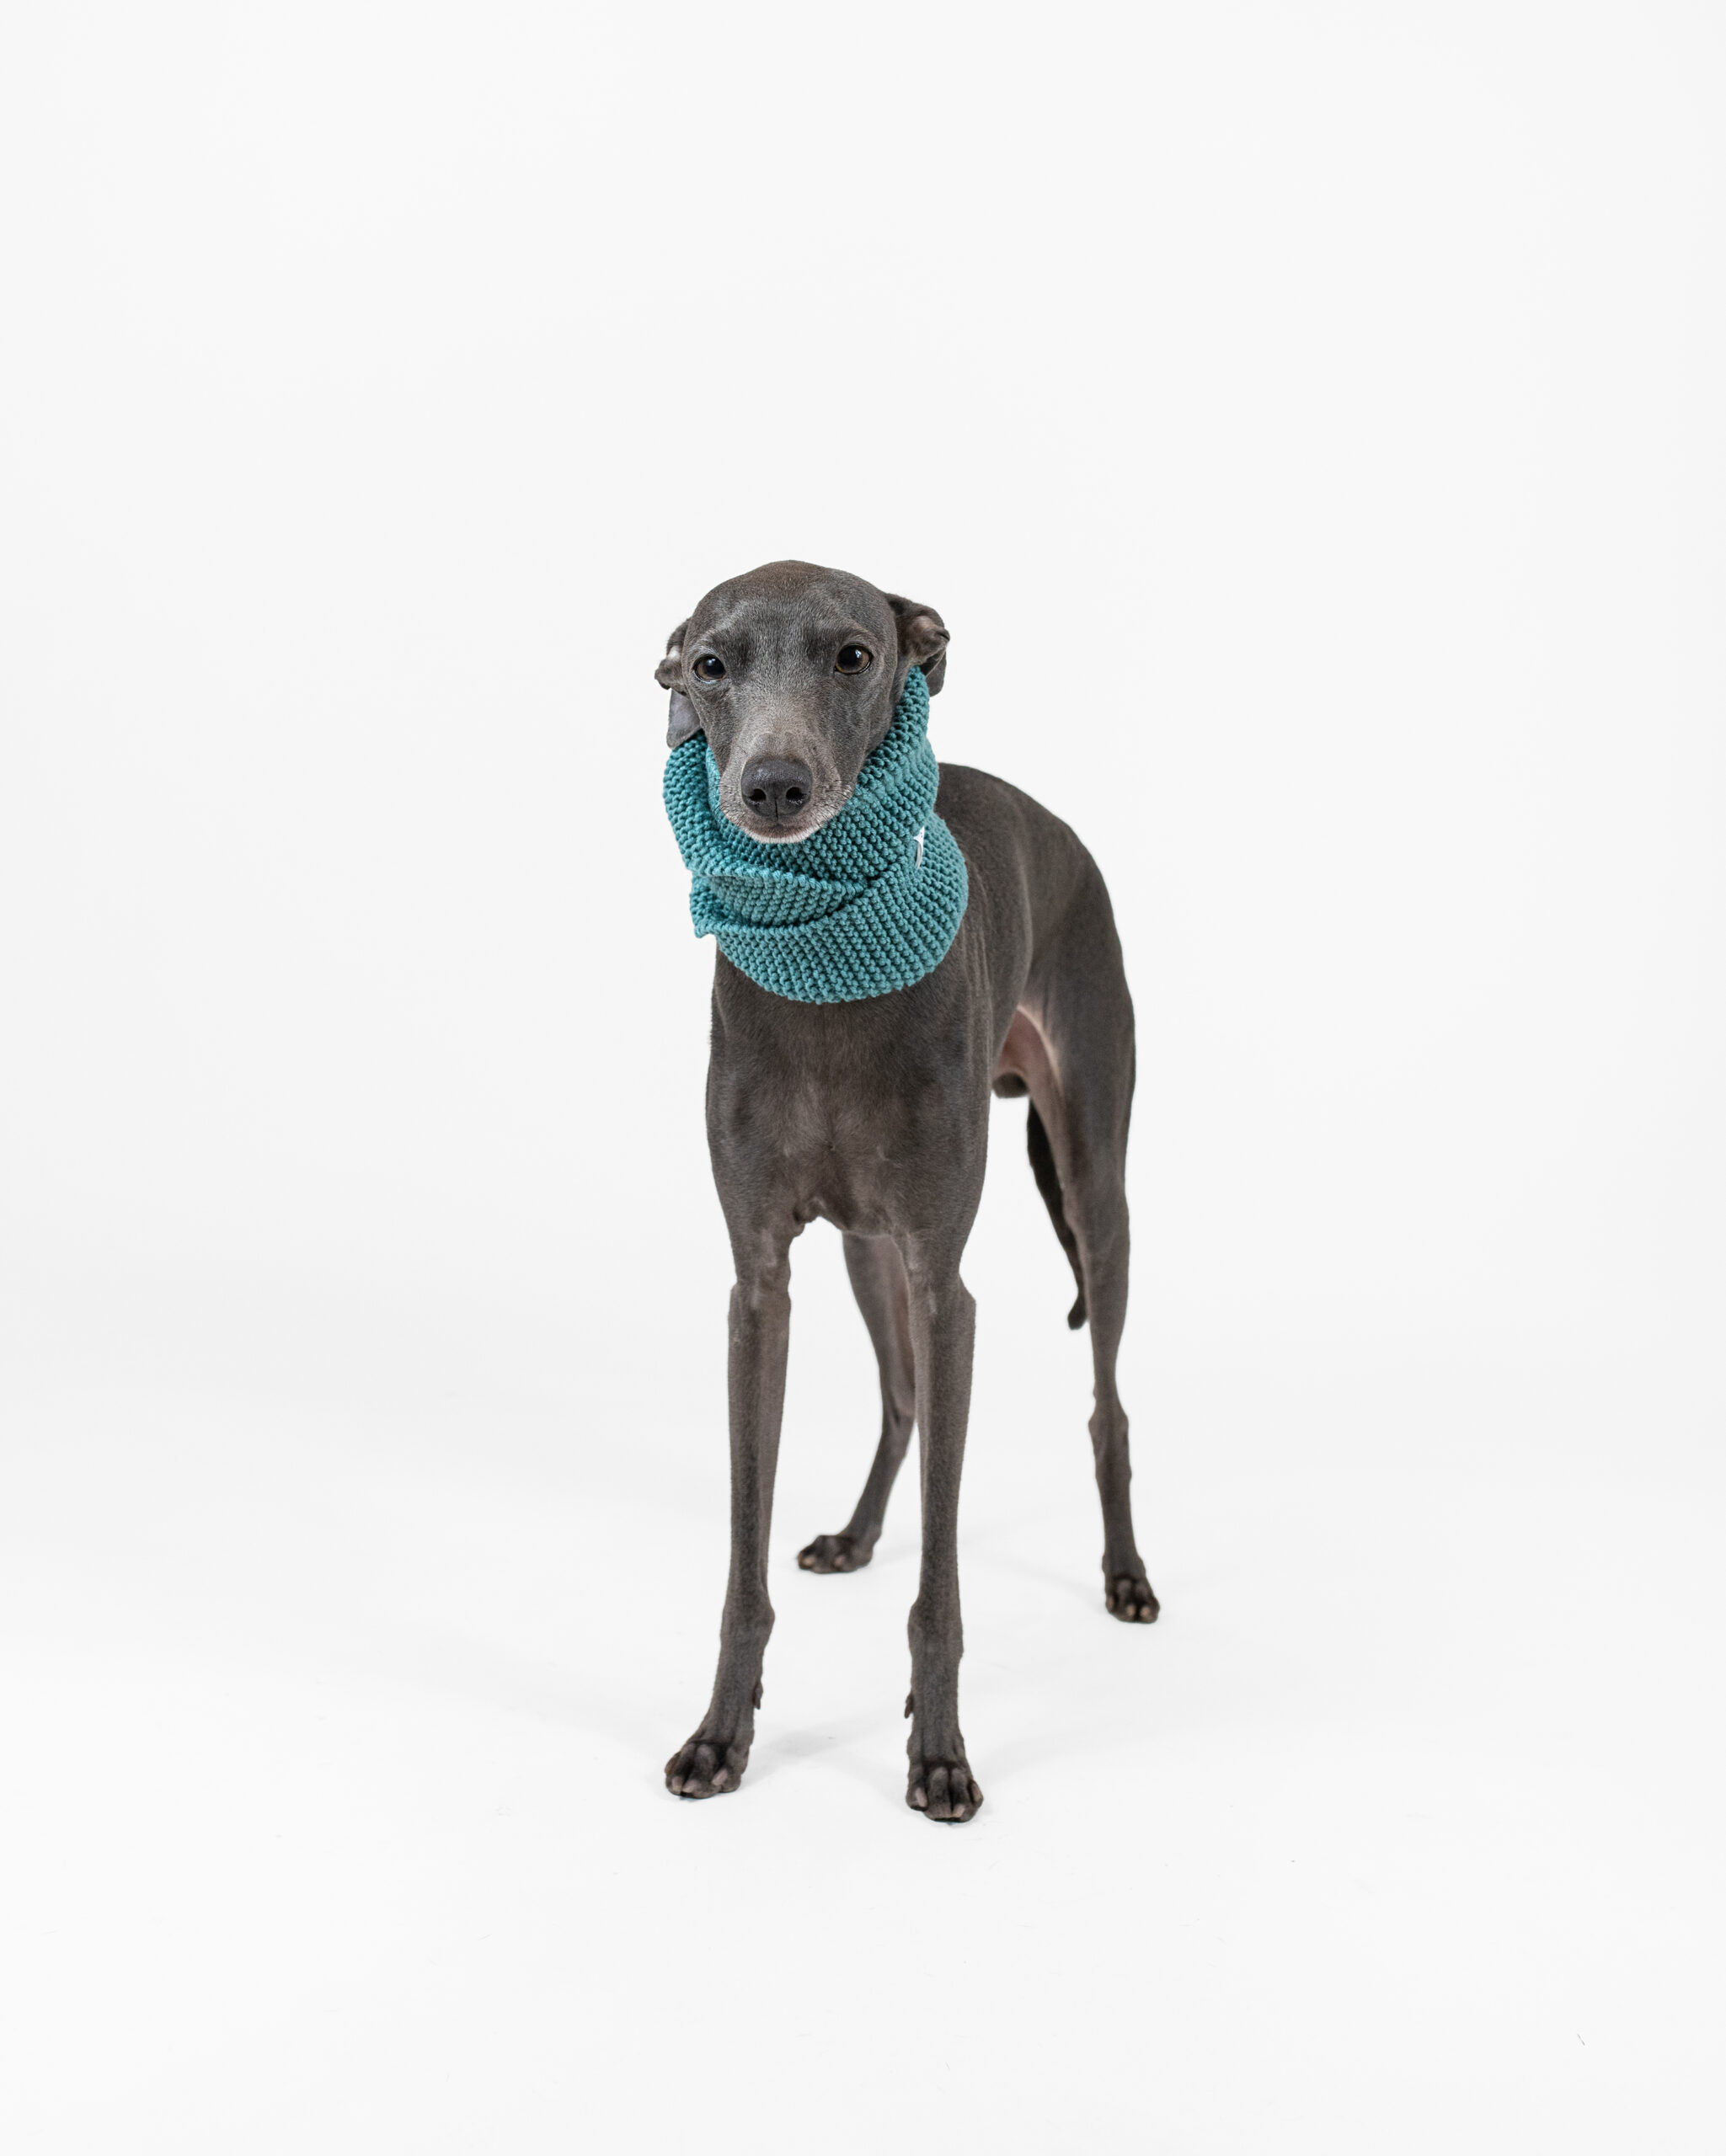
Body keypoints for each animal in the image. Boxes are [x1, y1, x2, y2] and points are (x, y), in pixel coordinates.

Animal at [658, 561, 1156, 1822]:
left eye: (855, 654)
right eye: (708, 665)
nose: (771, 788)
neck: (827, 978)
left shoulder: (945, 1285)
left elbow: (943, 1581)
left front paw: (940, 1754)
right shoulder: (761, 1285)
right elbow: (744, 1553)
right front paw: (721, 1736)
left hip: (1096, 1183)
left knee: (1107, 1403)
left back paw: (1126, 1573)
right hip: (861, 1245)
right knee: (902, 1400)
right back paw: (854, 1532)